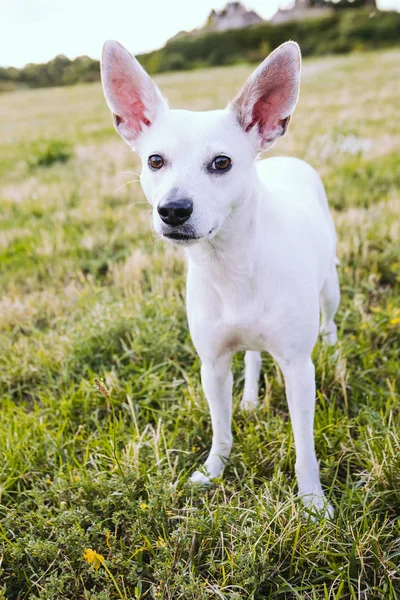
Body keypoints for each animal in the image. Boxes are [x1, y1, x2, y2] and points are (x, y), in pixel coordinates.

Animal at [101, 39, 340, 516]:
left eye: (222, 162)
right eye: (155, 160)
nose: (172, 210)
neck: (230, 264)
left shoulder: (298, 369)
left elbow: (304, 445)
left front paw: (312, 501)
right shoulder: (211, 364)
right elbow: (220, 427)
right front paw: (213, 472)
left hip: (330, 288)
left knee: (330, 321)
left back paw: (335, 350)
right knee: (251, 356)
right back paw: (248, 400)